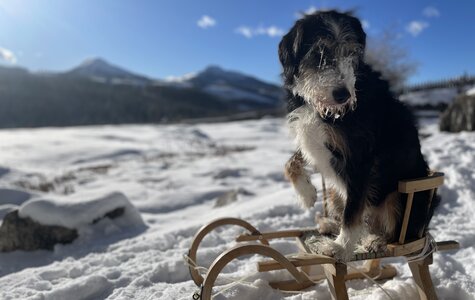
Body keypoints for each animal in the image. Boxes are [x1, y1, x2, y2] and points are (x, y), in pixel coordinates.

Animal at [280, 10, 440, 262]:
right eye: (319, 53)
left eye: (351, 52)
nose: (343, 95)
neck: (324, 109)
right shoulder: (314, 140)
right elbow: (291, 162)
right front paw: (306, 194)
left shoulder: (359, 157)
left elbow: (353, 211)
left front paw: (341, 248)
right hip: (335, 192)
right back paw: (329, 225)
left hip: (398, 197)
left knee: (390, 233)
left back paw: (373, 240)